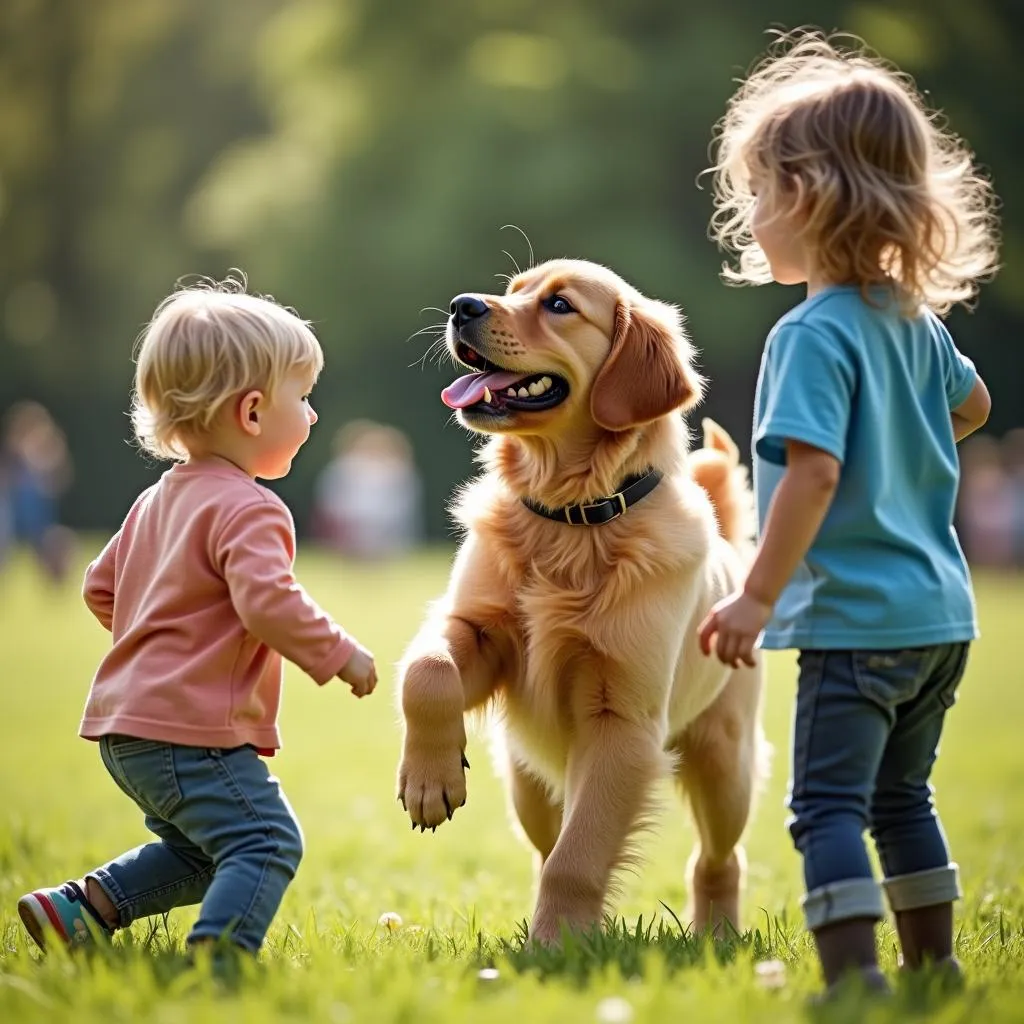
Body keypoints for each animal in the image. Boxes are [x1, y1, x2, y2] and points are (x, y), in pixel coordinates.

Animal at [395, 258, 765, 942]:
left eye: (560, 305)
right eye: (511, 292)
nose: (461, 306)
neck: (570, 519)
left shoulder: (623, 722)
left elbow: (580, 856)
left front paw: (556, 946)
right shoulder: (478, 630)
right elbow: (427, 671)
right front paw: (429, 780)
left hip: (725, 760)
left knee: (718, 857)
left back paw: (717, 934)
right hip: (526, 782)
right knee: (545, 844)